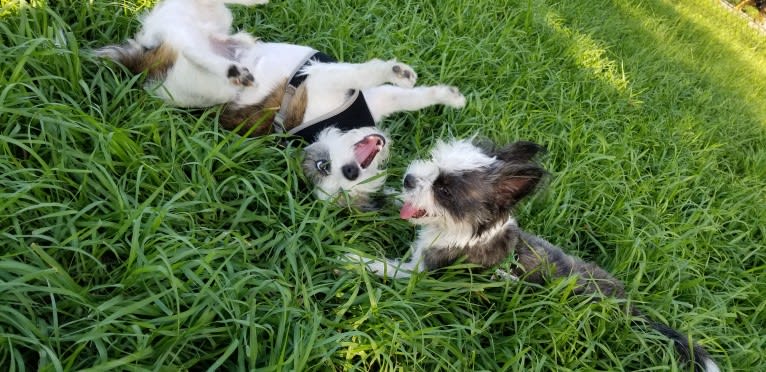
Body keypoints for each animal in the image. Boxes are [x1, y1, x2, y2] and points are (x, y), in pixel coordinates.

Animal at [96, 0, 468, 209]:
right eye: (325, 169)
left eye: (334, 172)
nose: (351, 170)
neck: (333, 126)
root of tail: (141, 64)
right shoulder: (323, 80)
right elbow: (365, 71)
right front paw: (398, 71)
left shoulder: (372, 98)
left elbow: (411, 97)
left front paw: (449, 96)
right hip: (184, 56)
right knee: (192, 49)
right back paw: (235, 71)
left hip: (204, 22)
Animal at [346, 139, 720, 372]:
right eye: (433, 163)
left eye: (444, 190)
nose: (409, 178)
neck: (462, 232)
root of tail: (629, 308)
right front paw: (374, 192)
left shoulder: (426, 274)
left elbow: (390, 269)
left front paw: (354, 259)